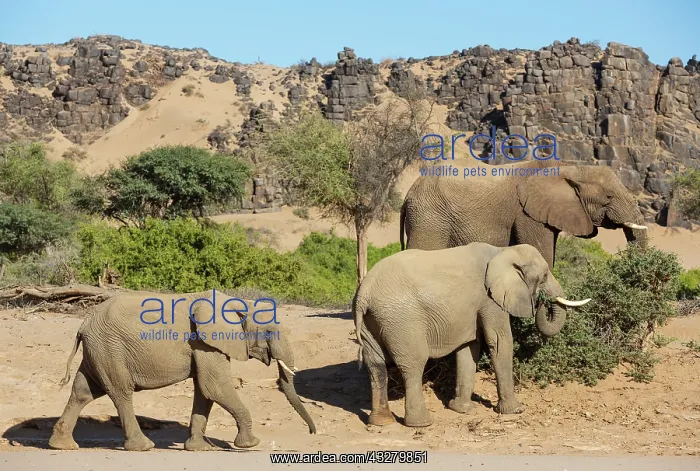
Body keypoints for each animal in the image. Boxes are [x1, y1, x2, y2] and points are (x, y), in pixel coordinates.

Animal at [48, 289, 316, 452]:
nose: (312, 433)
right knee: (121, 393)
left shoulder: (205, 346)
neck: (237, 302)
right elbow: (215, 387)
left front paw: (200, 448)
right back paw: (144, 447)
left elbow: (205, 391)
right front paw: (250, 444)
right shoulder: (204, 341)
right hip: (110, 348)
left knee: (83, 391)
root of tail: (83, 324)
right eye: (269, 332)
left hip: (99, 351)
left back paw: (63, 446)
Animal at [353, 242, 590, 427]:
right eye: (544, 276)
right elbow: (500, 342)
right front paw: (516, 410)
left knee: (375, 365)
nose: (542, 300)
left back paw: (381, 422)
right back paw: (421, 423)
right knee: (413, 364)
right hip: (402, 320)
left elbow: (468, 349)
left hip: (373, 319)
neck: (503, 251)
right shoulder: (489, 299)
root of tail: (365, 292)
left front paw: (461, 410)